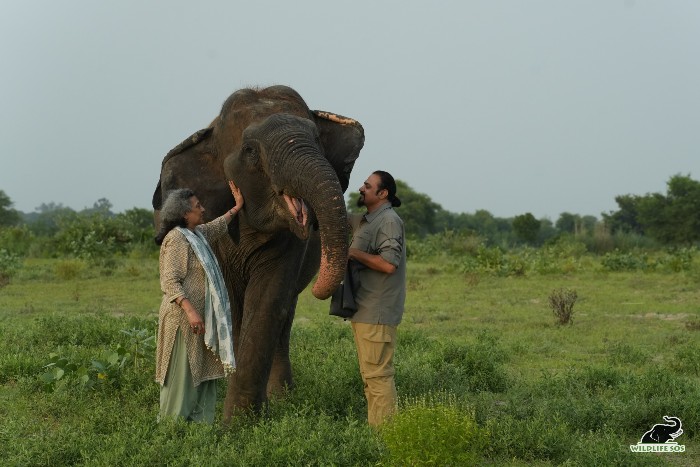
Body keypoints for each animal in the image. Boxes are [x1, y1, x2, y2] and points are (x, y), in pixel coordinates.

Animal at [150, 86, 364, 422]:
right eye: (250, 150)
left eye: (317, 139)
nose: (321, 290)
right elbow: (232, 303)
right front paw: (237, 423)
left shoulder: (290, 242)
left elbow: (266, 302)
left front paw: (241, 422)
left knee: (284, 315)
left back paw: (282, 399)